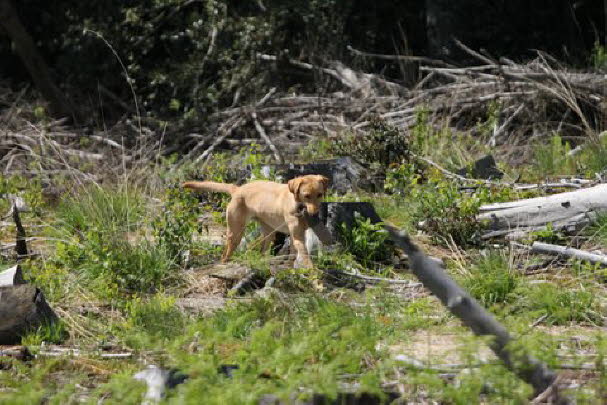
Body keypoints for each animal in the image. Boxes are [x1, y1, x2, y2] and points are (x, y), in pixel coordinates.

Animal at [183, 174, 330, 266]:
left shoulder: (299, 235)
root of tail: (238, 189)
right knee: (225, 254)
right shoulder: (297, 236)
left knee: (259, 250)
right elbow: (304, 254)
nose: (314, 213)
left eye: (319, 194)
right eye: (306, 196)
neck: (297, 205)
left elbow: (296, 253)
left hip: (268, 233)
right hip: (236, 233)